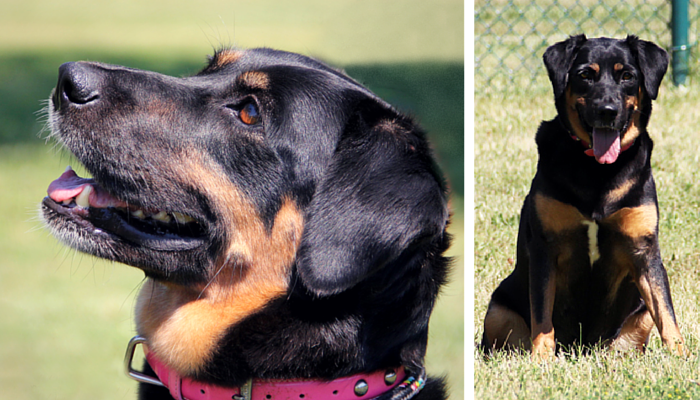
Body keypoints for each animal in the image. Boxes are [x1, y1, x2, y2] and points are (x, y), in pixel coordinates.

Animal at [482, 36, 684, 358]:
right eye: (585, 75)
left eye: (628, 76)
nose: (607, 110)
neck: (597, 169)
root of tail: (583, 345)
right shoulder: (545, 246)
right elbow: (542, 313)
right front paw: (541, 358)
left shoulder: (644, 249)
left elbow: (665, 311)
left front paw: (681, 356)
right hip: (498, 309)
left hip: (638, 316)